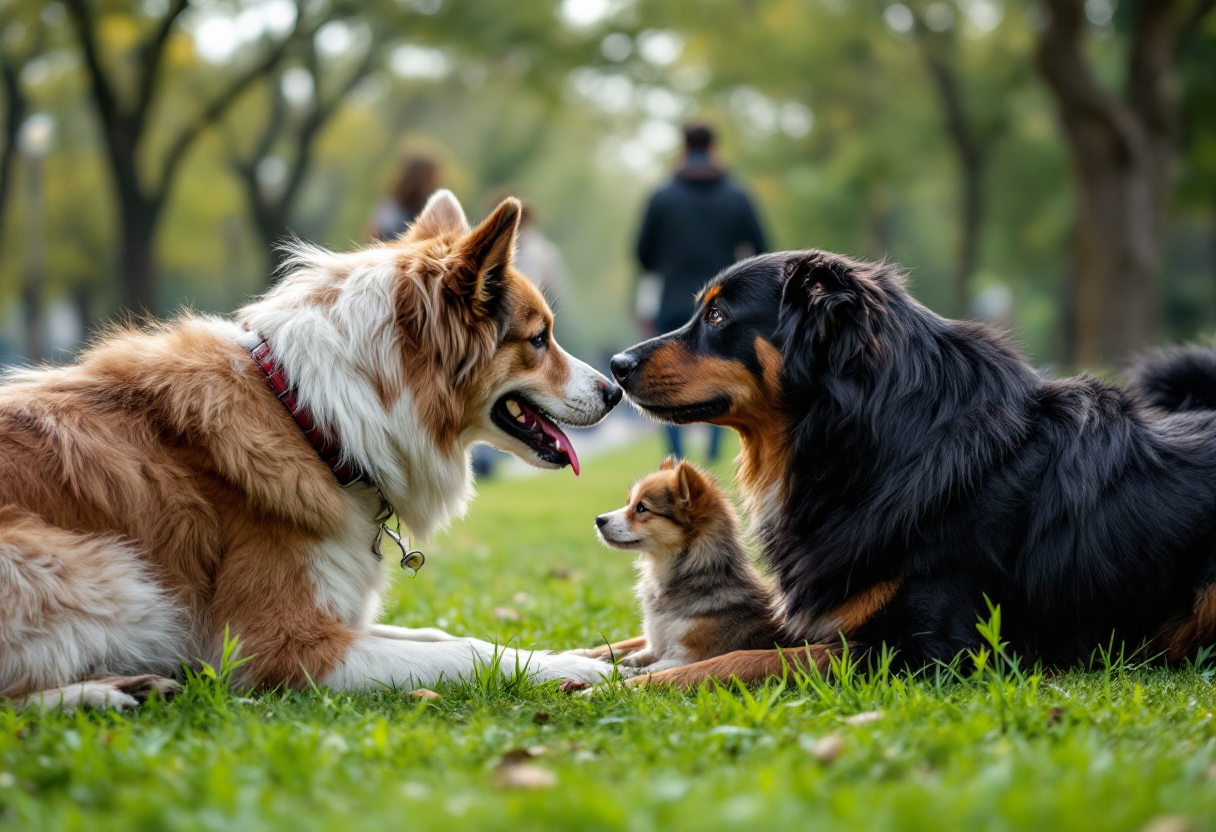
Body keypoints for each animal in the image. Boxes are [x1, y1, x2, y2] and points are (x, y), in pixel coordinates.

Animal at [0, 192, 622, 710]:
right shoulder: (277, 645)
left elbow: (436, 633)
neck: (311, 417)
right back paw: (102, 693)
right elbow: (461, 650)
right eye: (539, 340)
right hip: (107, 572)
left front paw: (584, 653)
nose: (616, 388)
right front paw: (572, 667)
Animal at [586, 457, 778, 671]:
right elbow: (633, 657)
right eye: (629, 503)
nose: (599, 520)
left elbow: (644, 670)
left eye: (641, 507)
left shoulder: (688, 656)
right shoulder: (656, 645)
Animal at [608, 248, 1216, 690]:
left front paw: (629, 688)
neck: (874, 441)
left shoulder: (930, 650)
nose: (616, 364)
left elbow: (738, 661)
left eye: (716, 315)